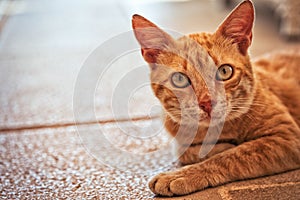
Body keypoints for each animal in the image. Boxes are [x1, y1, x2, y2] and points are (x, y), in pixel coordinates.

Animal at [132, 0, 300, 197]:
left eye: (225, 71)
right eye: (179, 79)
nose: (207, 103)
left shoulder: (287, 136)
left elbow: (232, 156)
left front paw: (180, 175)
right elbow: (183, 150)